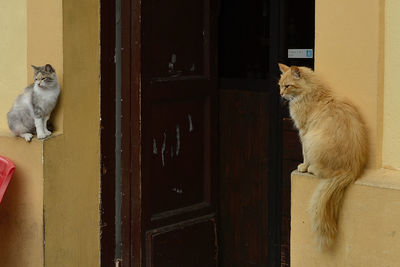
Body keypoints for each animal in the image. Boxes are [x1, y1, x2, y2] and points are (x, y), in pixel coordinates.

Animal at [278, 63, 368, 251]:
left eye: (287, 86)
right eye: (280, 85)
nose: (281, 94)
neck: (313, 93)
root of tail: (350, 171)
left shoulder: (304, 132)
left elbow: (304, 154)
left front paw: (303, 167)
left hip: (313, 139)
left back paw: (311, 169)